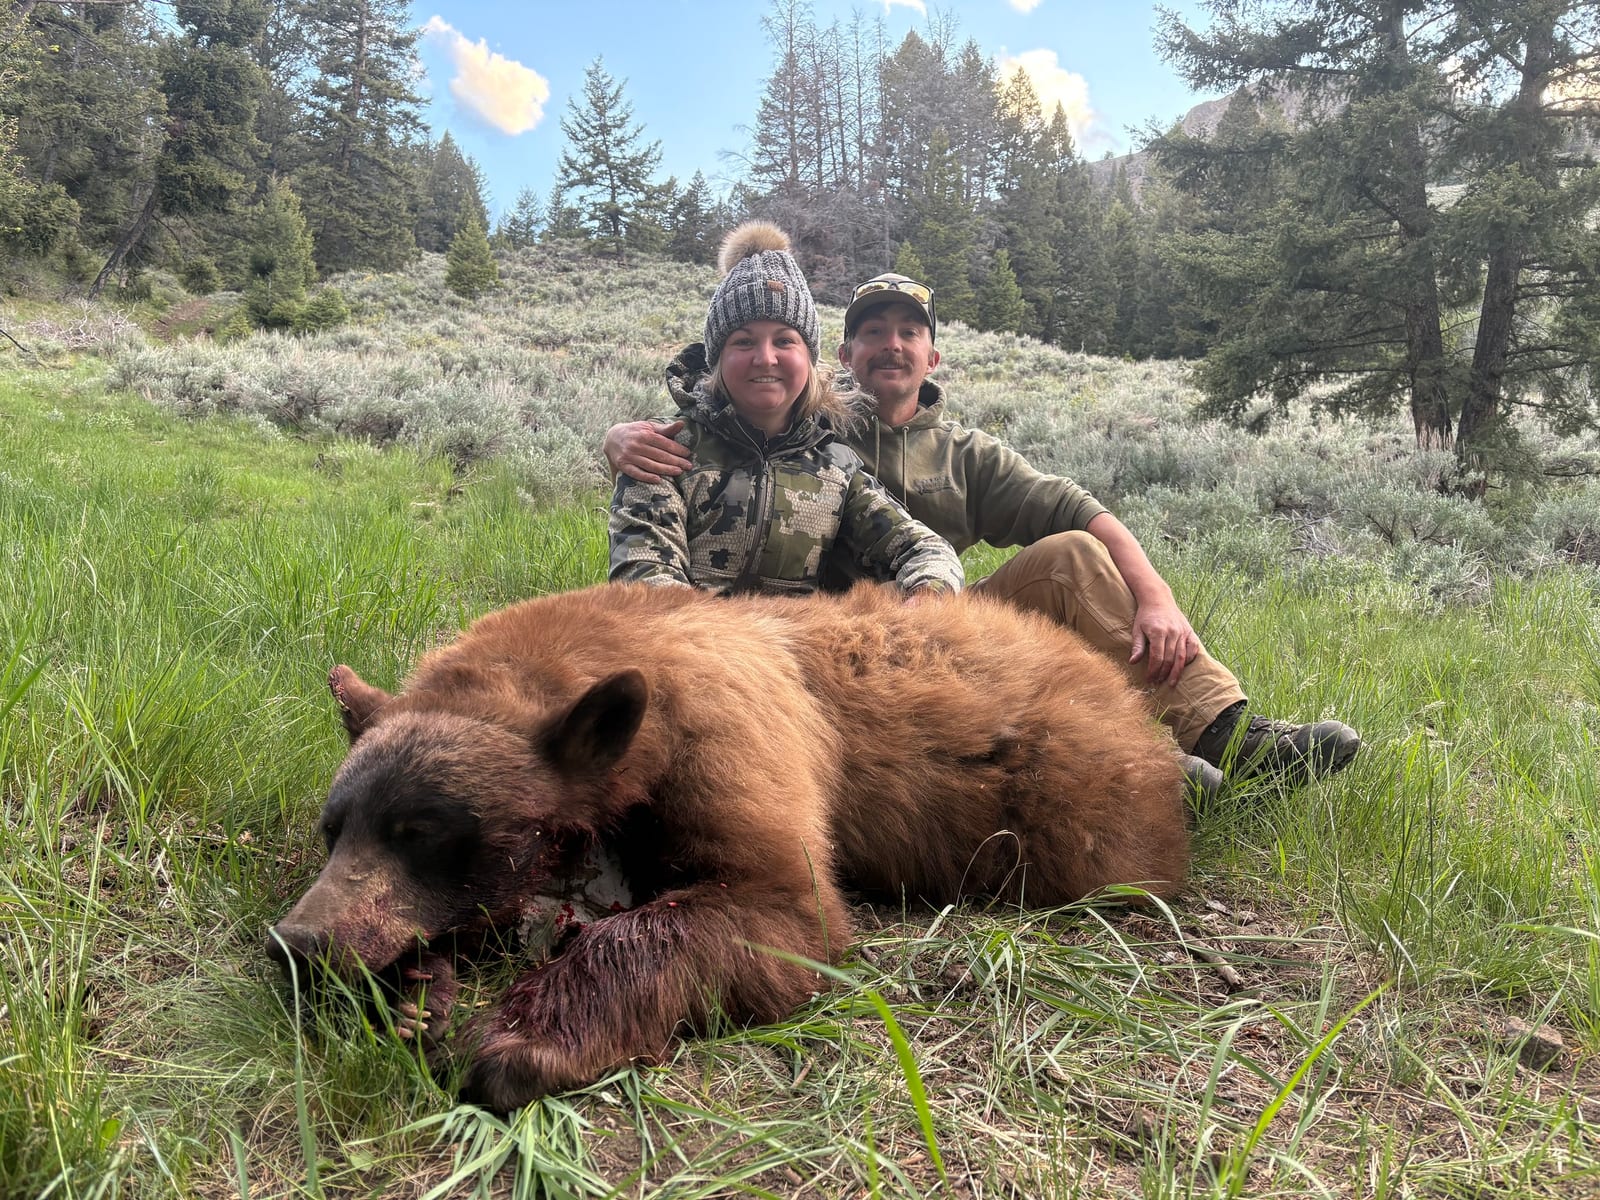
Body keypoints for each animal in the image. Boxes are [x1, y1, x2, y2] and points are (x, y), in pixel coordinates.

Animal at [268, 581, 1188, 1112]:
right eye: (334, 829)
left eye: (422, 833)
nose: (298, 943)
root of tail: (1121, 691)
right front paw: (421, 996)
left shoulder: (728, 731)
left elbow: (776, 907)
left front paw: (520, 1042)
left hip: (1069, 809)